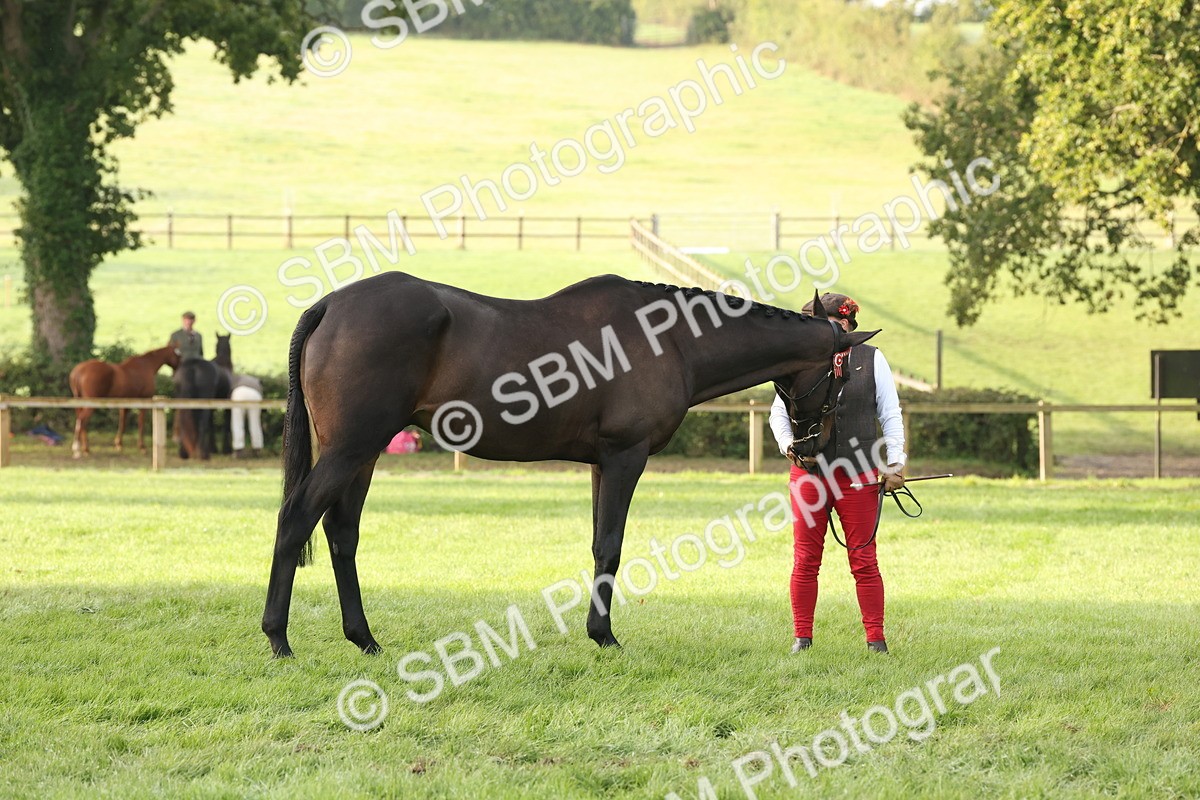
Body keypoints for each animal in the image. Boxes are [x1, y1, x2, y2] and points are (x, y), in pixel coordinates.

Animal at [261, 272, 877, 658]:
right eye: (843, 374)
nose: (812, 448)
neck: (672, 339)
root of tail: (332, 305)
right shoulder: (625, 456)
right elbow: (612, 545)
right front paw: (604, 635)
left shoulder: (601, 463)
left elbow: (598, 544)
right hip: (350, 448)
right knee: (295, 520)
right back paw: (278, 638)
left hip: (362, 452)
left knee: (341, 532)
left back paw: (363, 638)